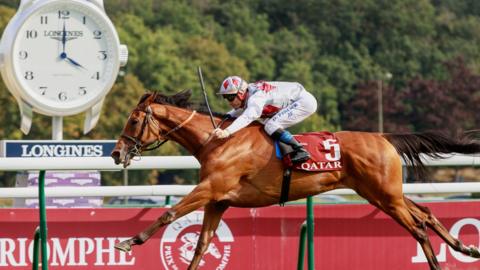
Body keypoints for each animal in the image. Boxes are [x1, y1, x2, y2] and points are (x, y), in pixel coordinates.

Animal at [111, 90, 480, 270]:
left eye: (133, 120)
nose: (116, 153)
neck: (218, 141)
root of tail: (384, 137)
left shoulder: (210, 189)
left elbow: (169, 214)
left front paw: (129, 241)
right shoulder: (219, 201)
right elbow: (201, 245)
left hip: (385, 196)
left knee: (418, 227)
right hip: (382, 193)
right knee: (426, 213)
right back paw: (465, 247)